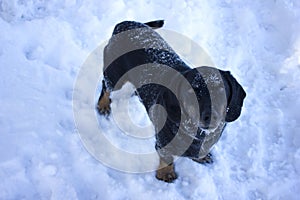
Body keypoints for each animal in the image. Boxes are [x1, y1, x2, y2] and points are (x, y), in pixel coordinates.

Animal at [96, 20, 246, 183]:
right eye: (191, 91)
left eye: (221, 90)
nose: (210, 116)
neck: (195, 131)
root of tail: (124, 24)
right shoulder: (163, 143)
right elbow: (166, 158)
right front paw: (166, 173)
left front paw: (202, 157)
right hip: (114, 77)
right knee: (105, 87)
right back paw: (103, 105)